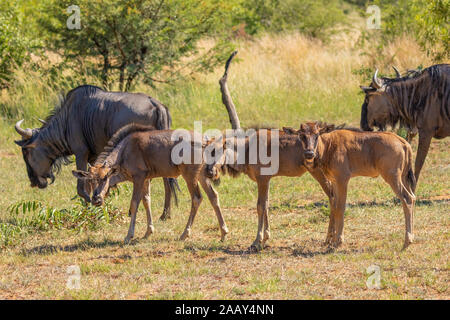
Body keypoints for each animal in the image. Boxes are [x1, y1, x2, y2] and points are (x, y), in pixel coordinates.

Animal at [74, 124, 229, 244]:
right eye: (90, 180)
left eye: (105, 178)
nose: (97, 199)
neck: (124, 151)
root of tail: (206, 141)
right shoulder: (146, 179)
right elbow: (146, 201)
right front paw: (148, 232)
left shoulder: (138, 178)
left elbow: (134, 204)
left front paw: (129, 236)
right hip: (203, 175)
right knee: (213, 196)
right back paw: (223, 233)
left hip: (189, 175)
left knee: (197, 198)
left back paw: (185, 234)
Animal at [292, 121, 414, 249]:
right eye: (301, 135)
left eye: (316, 135)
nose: (309, 153)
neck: (330, 144)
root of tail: (403, 142)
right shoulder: (334, 182)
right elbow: (334, 207)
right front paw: (330, 241)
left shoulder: (343, 180)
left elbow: (341, 207)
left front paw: (338, 241)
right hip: (404, 178)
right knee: (413, 197)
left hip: (393, 178)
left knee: (407, 199)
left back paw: (407, 241)